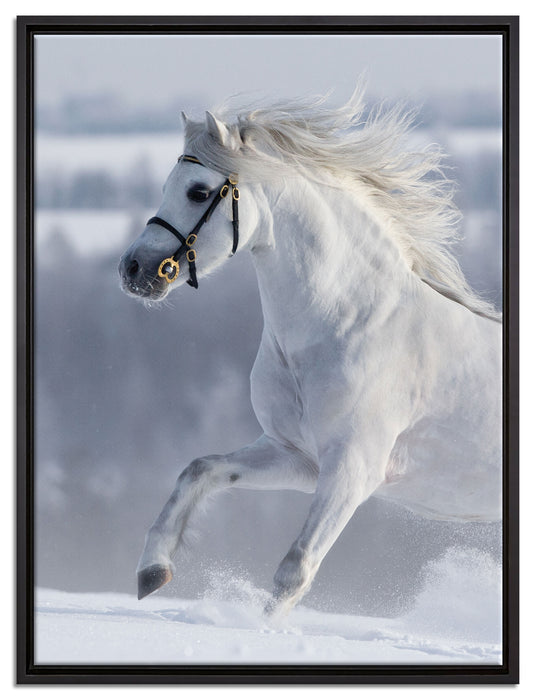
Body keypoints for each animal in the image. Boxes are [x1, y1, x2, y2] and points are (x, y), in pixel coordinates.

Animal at [118, 88, 502, 617]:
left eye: (197, 191)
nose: (133, 269)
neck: (349, 324)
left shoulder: (353, 471)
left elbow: (294, 570)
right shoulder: (297, 456)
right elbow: (199, 470)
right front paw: (152, 572)